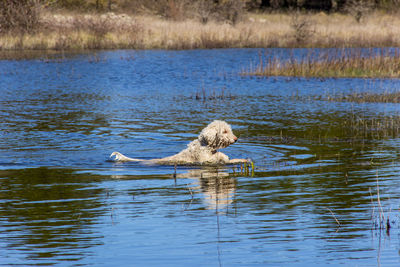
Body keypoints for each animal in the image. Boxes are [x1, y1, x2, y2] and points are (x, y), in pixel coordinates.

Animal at [109, 120, 247, 165]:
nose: (236, 139)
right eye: (225, 131)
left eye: (229, 130)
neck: (205, 146)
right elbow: (220, 158)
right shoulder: (204, 160)